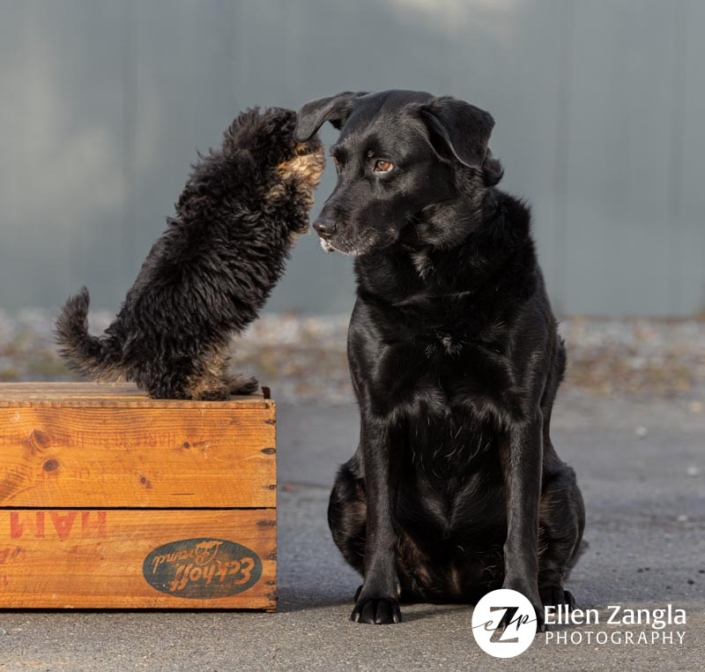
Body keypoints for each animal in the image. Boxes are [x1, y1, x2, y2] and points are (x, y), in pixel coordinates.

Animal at [55, 106, 324, 400]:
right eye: (294, 125)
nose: (316, 134)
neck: (245, 157)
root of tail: (126, 345)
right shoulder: (276, 209)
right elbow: (294, 188)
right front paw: (311, 162)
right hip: (192, 342)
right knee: (173, 382)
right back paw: (207, 389)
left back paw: (233, 382)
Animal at [294, 88, 584, 624]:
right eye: (338, 162)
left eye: (384, 164)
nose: (320, 228)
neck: (434, 276)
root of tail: (452, 585)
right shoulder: (379, 413)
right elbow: (382, 525)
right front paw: (377, 596)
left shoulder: (520, 416)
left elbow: (519, 527)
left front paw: (522, 598)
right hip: (344, 489)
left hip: (562, 488)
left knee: (548, 549)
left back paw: (553, 594)